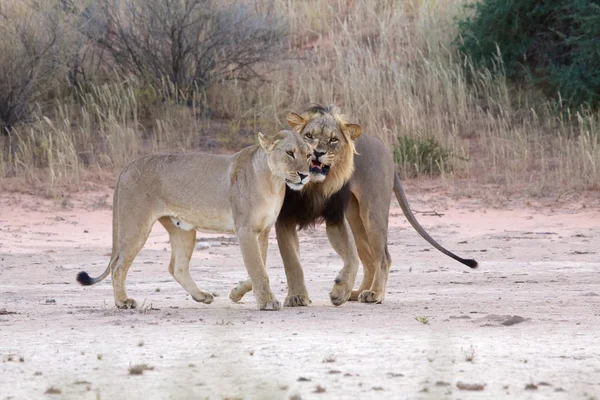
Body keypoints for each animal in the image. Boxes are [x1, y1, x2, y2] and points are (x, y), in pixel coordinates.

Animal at [75, 130, 314, 310]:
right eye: (290, 153)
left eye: (309, 155)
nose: (305, 175)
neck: (273, 182)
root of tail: (126, 167)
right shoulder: (246, 229)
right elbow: (258, 269)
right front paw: (267, 302)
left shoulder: (262, 231)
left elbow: (258, 267)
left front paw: (236, 293)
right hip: (136, 225)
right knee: (118, 265)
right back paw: (123, 301)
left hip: (183, 231)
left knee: (177, 267)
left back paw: (201, 296)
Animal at [227, 104, 476, 306]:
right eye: (308, 136)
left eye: (333, 140)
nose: (316, 153)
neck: (315, 187)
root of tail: (387, 151)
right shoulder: (285, 219)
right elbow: (291, 262)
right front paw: (296, 296)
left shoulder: (335, 219)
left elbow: (351, 258)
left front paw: (339, 291)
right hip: (356, 218)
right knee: (370, 259)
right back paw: (359, 292)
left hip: (372, 212)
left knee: (382, 257)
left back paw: (374, 294)